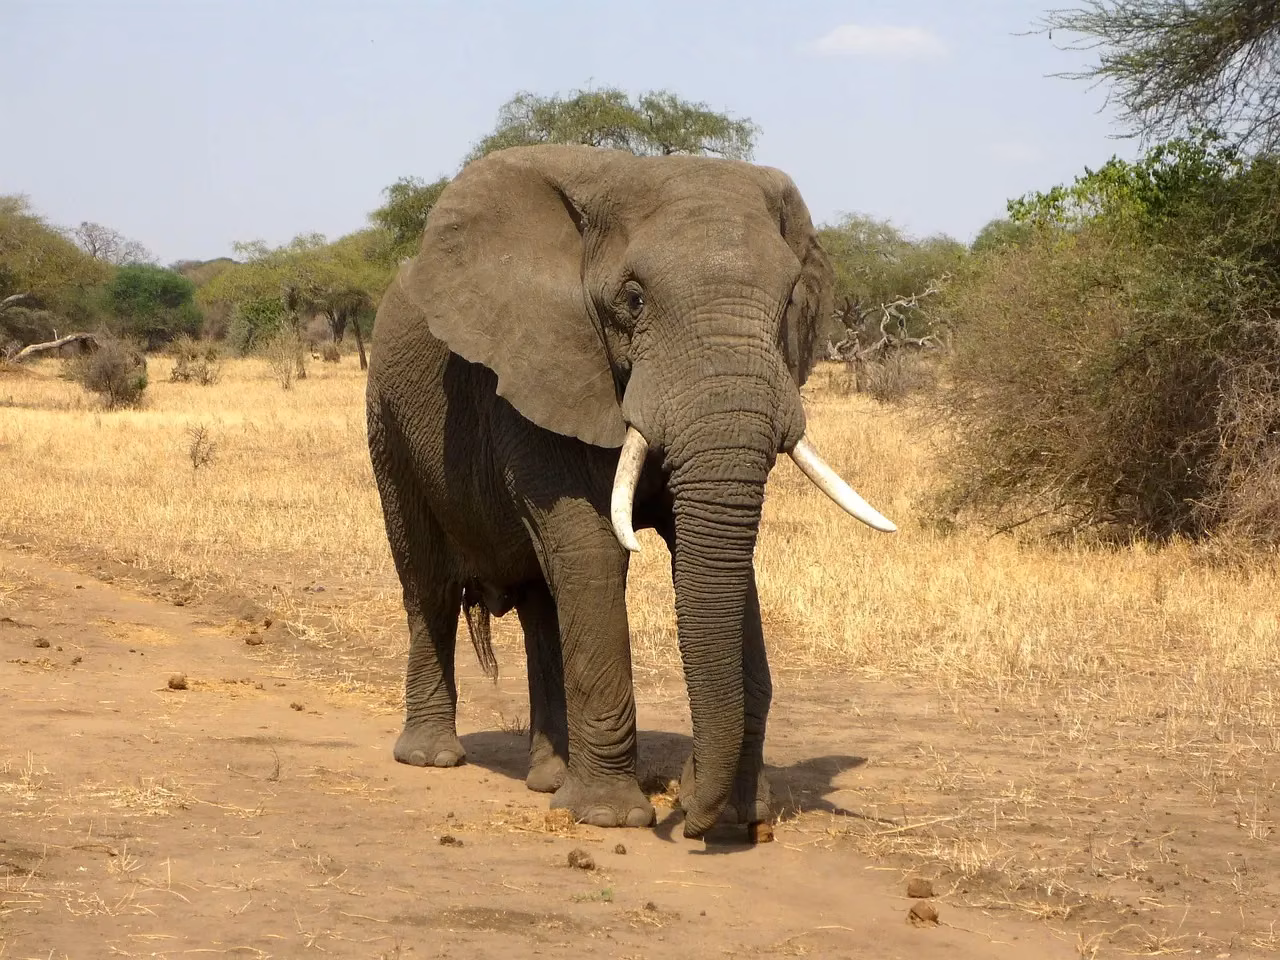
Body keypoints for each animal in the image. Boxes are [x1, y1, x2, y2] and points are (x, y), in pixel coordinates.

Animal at [365, 144, 895, 839]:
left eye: (787, 303)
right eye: (634, 299)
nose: (689, 812)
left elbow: (720, 560)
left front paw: (739, 814)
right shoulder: (542, 368)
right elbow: (594, 551)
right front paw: (609, 818)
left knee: (542, 601)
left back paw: (548, 779)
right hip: (387, 417)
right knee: (426, 580)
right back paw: (432, 758)